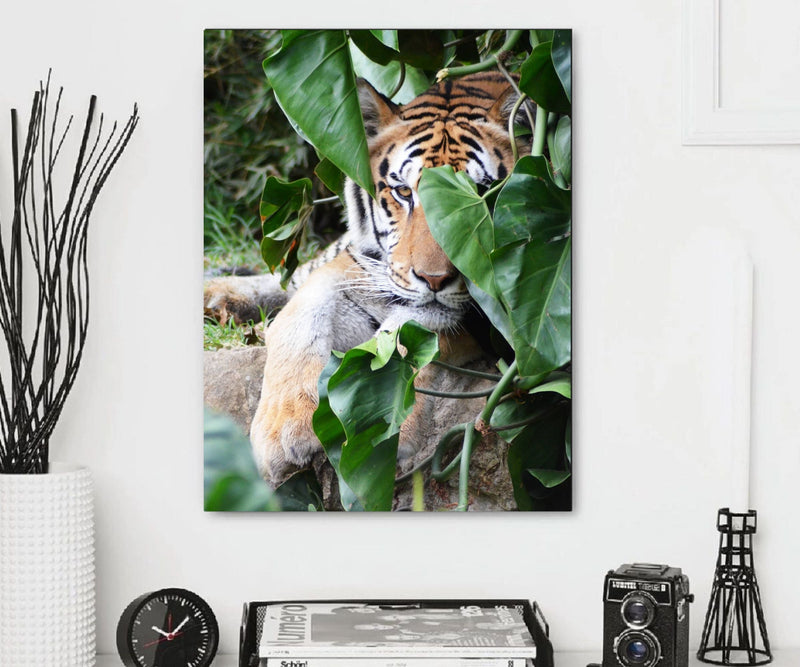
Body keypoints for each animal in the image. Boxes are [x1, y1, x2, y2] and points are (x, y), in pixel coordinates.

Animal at [205, 72, 532, 485]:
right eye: (404, 191)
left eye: (481, 195)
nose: (433, 279)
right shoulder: (359, 265)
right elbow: (301, 312)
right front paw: (284, 429)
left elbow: (399, 339)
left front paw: (378, 430)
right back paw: (216, 295)